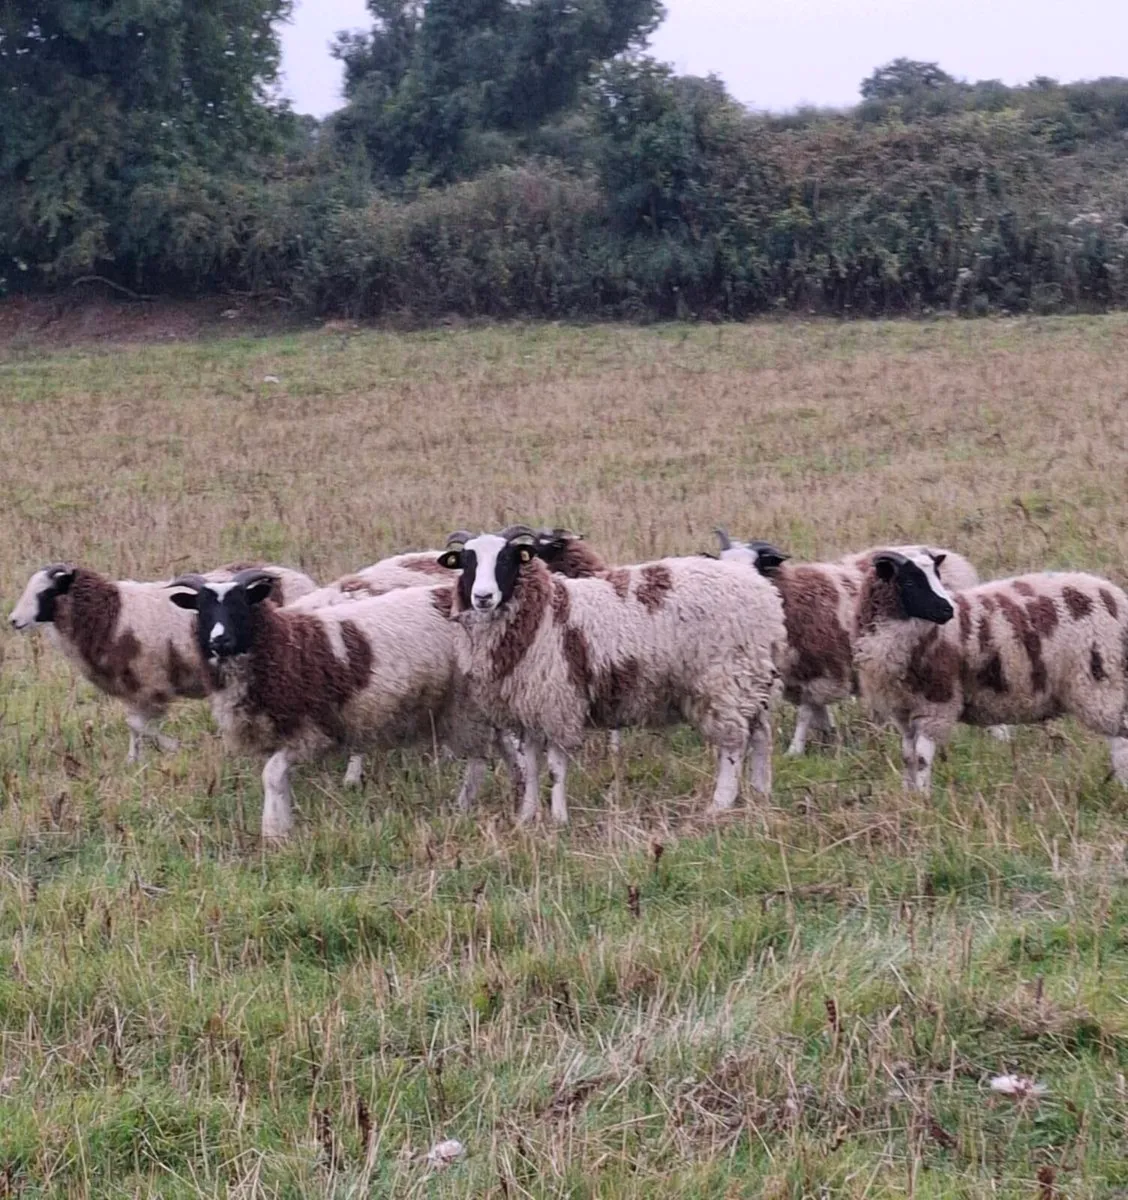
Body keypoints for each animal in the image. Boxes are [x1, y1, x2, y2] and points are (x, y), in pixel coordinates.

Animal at [8, 561, 316, 762]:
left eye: (46, 592)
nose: (13, 621)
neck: (110, 613)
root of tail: (303, 579)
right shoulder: (133, 689)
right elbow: (134, 726)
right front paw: (134, 761)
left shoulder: (151, 683)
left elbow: (140, 726)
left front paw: (173, 747)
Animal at [167, 569, 522, 840]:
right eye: (202, 609)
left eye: (240, 604)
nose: (219, 640)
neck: (283, 645)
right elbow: (278, 779)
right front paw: (282, 823)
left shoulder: (311, 732)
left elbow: (272, 775)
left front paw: (273, 832)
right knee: (505, 745)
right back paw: (520, 791)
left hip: (467, 703)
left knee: (479, 758)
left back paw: (464, 804)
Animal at [438, 526, 787, 824]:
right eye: (466, 562)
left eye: (507, 558)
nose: (483, 597)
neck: (544, 610)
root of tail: (765, 595)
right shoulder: (528, 708)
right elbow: (533, 766)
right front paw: (526, 817)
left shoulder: (558, 701)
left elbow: (556, 768)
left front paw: (559, 819)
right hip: (750, 679)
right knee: (761, 734)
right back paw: (761, 791)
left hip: (725, 681)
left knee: (733, 745)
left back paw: (720, 804)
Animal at [713, 530, 995, 754]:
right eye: (722, 564)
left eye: (757, 566)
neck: (792, 595)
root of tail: (957, 561)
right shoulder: (801, 671)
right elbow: (817, 712)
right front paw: (828, 738)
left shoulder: (820, 666)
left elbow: (805, 712)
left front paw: (795, 750)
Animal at [851, 550, 1128, 792]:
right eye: (909, 580)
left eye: (938, 576)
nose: (948, 610)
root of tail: (1115, 596)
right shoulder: (904, 711)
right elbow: (908, 757)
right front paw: (909, 797)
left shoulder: (936, 705)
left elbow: (921, 759)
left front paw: (923, 799)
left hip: (1101, 682)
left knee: (1121, 740)